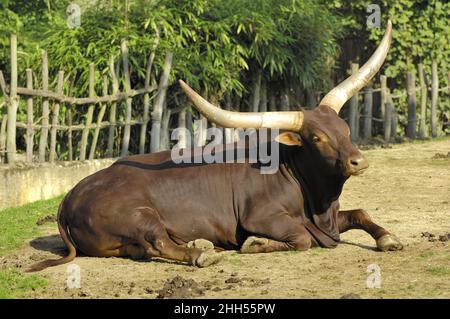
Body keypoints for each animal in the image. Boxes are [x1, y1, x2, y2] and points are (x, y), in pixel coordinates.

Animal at [29, 20, 402, 272]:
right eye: (317, 138)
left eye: (344, 129)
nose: (358, 161)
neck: (314, 198)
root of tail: (67, 200)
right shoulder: (263, 216)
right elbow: (301, 238)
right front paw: (255, 244)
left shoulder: (331, 216)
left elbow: (361, 213)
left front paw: (389, 238)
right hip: (138, 215)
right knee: (157, 241)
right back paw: (202, 253)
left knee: (146, 249)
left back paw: (200, 244)